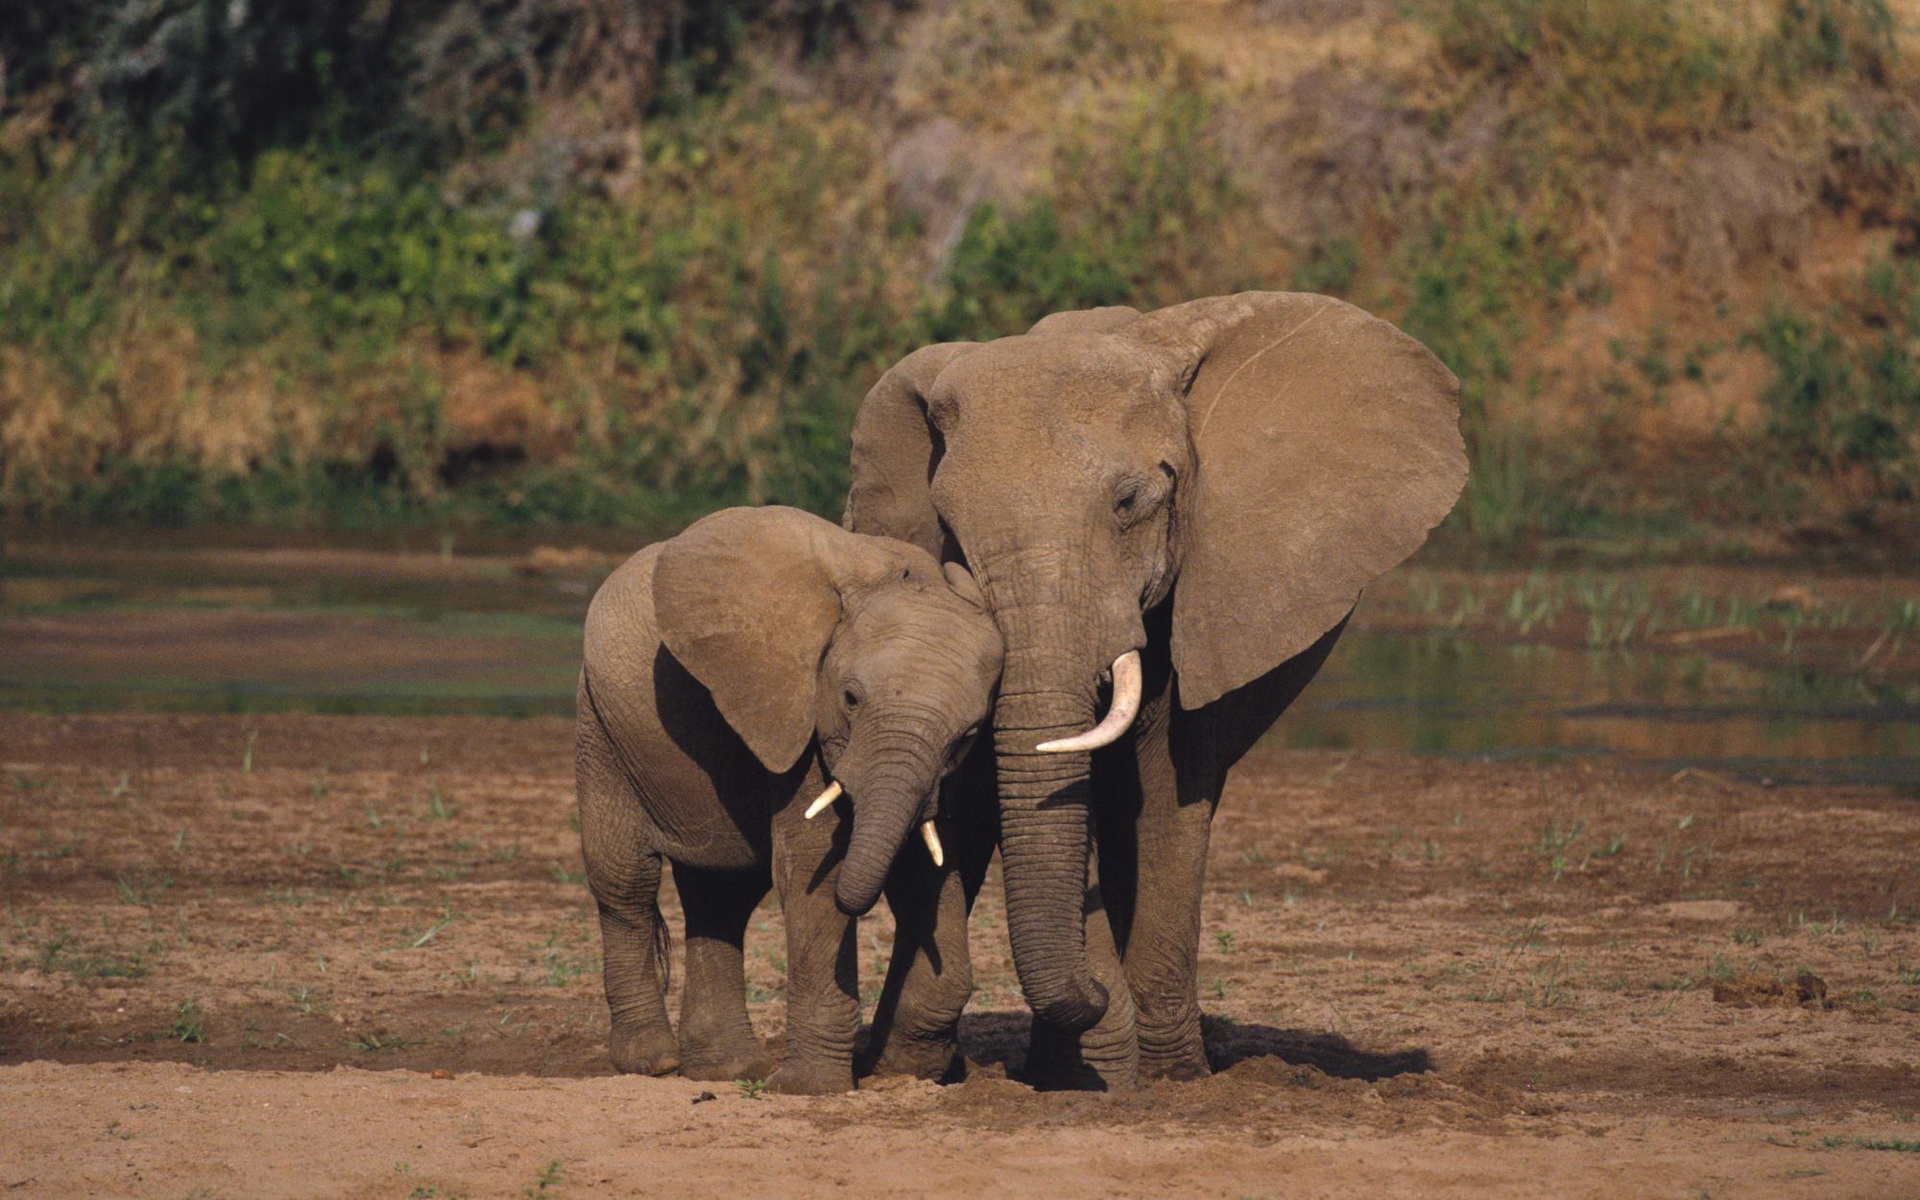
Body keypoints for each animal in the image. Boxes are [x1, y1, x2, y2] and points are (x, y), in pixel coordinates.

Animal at [576, 499, 1006, 1090]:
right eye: (850, 698)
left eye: (968, 734)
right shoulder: (798, 713)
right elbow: (810, 869)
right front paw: (811, 1089)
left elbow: (929, 867)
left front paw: (906, 1072)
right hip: (601, 726)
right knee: (625, 882)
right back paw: (654, 1063)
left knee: (721, 895)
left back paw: (726, 1070)